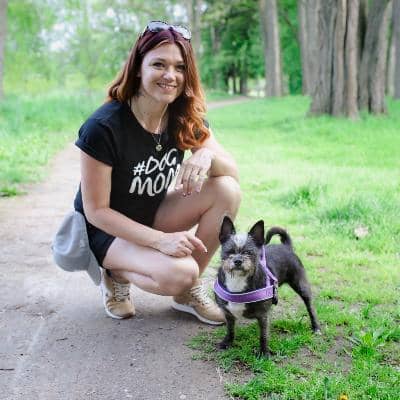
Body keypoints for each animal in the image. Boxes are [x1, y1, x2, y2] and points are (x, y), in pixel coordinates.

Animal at [215, 216, 321, 357]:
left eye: (249, 253)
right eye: (229, 252)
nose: (238, 260)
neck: (237, 280)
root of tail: (286, 246)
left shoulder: (263, 316)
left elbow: (263, 335)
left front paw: (264, 353)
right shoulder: (228, 313)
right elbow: (230, 329)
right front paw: (227, 342)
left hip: (301, 286)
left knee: (310, 307)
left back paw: (316, 327)